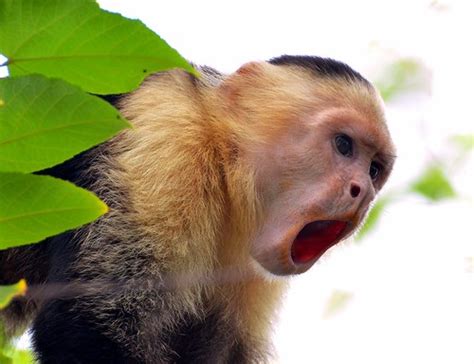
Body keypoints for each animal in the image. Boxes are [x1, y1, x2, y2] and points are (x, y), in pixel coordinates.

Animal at [0, 55, 394, 362]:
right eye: (343, 145)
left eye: (374, 169)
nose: (362, 192)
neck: (221, 161)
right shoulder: (166, 133)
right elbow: (86, 324)